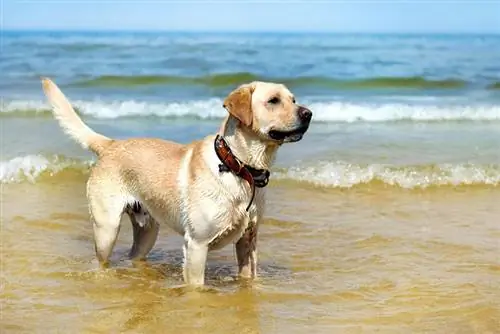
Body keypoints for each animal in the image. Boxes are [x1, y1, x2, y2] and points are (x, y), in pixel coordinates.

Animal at [42, 77, 312, 284]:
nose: (309, 113)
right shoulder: (197, 245)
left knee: (134, 256)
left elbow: (248, 279)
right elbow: (196, 287)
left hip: (148, 231)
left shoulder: (248, 240)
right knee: (100, 260)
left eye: (293, 99)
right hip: (106, 229)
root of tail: (110, 144)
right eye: (273, 101)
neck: (239, 167)